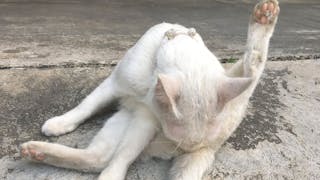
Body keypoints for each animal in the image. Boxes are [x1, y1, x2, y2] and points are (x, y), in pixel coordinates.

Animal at [20, 0, 280, 179]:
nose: (184, 148)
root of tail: (210, 147)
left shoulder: (147, 111)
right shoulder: (114, 84)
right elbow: (86, 106)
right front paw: (60, 123)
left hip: (144, 124)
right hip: (135, 123)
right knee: (97, 158)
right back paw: (36, 151)